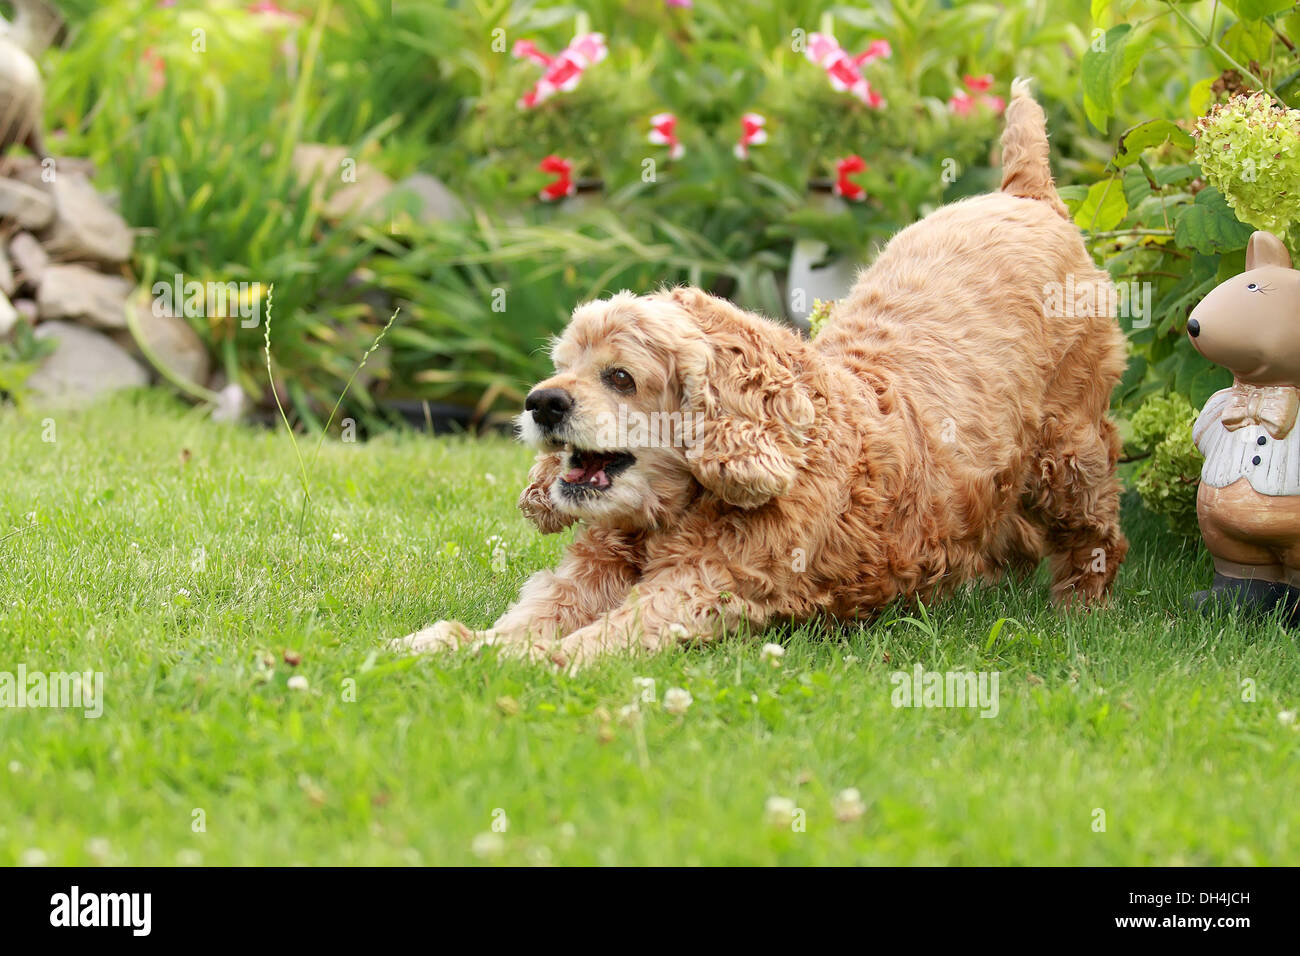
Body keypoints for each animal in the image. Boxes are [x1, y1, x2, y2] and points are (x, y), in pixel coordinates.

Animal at [395, 80, 1128, 665]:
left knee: (1099, 535)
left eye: (620, 377)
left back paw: (1082, 610)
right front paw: (444, 645)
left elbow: (604, 634)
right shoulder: (592, 572)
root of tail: (1028, 195)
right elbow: (531, 615)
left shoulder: (708, 583)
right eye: (562, 367)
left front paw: (528, 663)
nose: (540, 403)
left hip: (1070, 450)